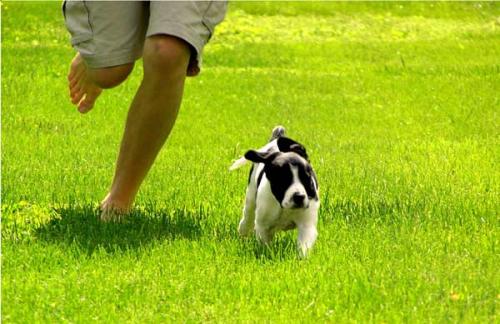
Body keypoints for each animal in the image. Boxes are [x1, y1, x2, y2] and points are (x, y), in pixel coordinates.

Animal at [231, 126, 320, 258]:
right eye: (283, 179)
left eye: (307, 178)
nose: (299, 196)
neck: (283, 207)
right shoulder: (263, 227)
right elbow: (266, 246)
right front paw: (269, 256)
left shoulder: (307, 224)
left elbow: (304, 246)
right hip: (251, 197)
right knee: (247, 216)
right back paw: (243, 231)